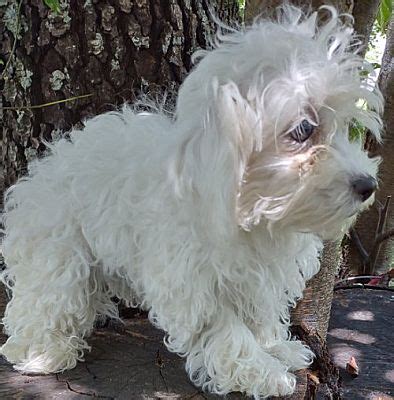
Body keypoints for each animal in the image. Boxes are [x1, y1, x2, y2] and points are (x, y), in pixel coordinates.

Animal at [0, 4, 382, 398]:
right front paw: (261, 372)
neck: (249, 205)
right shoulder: (195, 281)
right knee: (48, 298)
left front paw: (277, 348)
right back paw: (42, 353)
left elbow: (260, 315)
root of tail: (44, 167)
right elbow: (227, 331)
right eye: (304, 129)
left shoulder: (259, 276)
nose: (367, 184)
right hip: (58, 251)